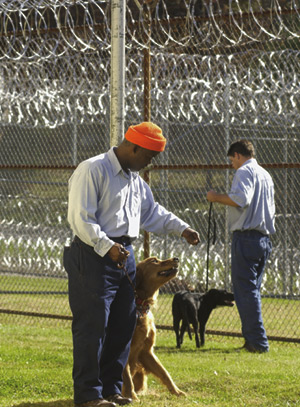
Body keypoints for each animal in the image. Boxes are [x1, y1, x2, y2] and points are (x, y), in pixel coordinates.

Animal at [122, 258, 185, 402]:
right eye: (154, 260)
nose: (176, 258)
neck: (140, 307)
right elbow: (127, 377)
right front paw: (132, 397)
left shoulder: (147, 351)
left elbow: (164, 373)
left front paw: (177, 391)